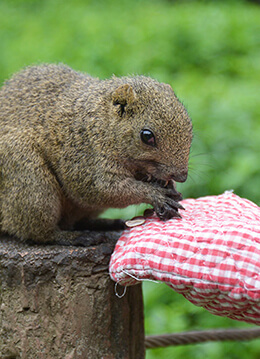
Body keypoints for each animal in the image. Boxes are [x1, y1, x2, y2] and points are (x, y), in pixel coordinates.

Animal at [0, 63, 191, 246]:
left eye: (190, 125)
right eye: (147, 136)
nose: (181, 176)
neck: (101, 124)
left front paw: (167, 186)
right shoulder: (82, 156)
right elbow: (102, 189)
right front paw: (155, 194)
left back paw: (105, 224)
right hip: (29, 178)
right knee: (39, 233)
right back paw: (75, 237)